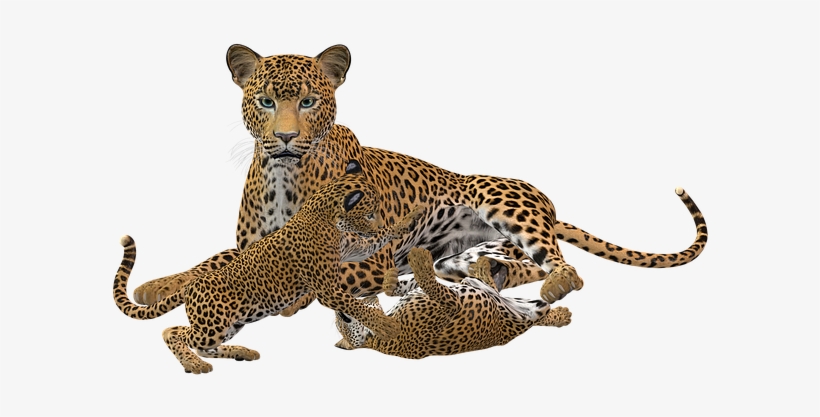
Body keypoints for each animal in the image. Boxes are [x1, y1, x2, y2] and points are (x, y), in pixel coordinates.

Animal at [113, 169, 423, 373]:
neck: (329, 219)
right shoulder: (327, 290)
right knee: (174, 332)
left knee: (199, 342)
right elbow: (356, 306)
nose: (377, 219)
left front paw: (409, 218)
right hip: (213, 325)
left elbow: (378, 238)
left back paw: (242, 353)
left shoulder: (355, 249)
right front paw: (386, 325)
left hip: (232, 324)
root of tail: (192, 285)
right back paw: (194, 363)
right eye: (370, 212)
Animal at [132, 44, 708, 313]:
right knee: (496, 263)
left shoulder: (365, 258)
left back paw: (544, 282)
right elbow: (215, 260)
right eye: (267, 101)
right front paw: (160, 285)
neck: (283, 175)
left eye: (310, 101)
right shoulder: (253, 244)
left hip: (500, 201)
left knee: (563, 267)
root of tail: (547, 205)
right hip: (463, 248)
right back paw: (486, 275)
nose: (288, 137)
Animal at [334, 247, 573, 359]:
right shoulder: (452, 305)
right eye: (343, 321)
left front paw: (390, 280)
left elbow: (410, 284)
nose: (339, 311)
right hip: (512, 308)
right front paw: (419, 260)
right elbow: (433, 285)